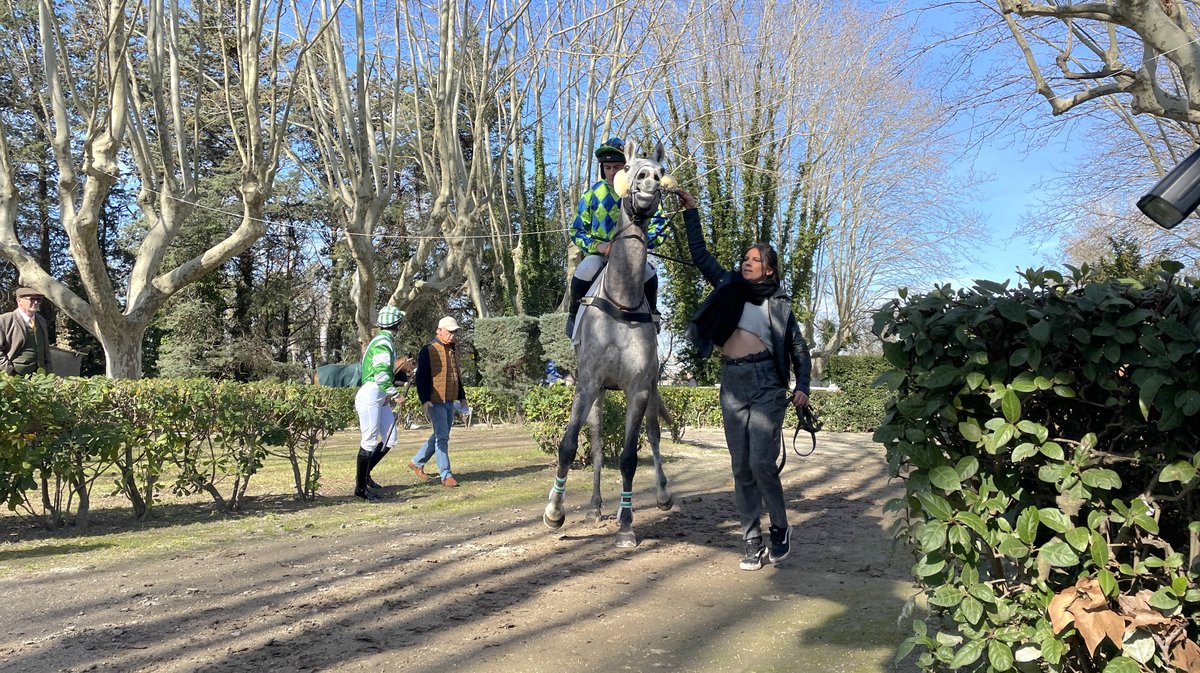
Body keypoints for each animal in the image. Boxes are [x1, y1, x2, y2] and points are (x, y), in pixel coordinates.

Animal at [547, 140, 676, 547]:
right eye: (632, 168)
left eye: (660, 169)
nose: (648, 179)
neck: (621, 304)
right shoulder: (588, 383)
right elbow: (569, 445)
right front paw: (554, 513)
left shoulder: (638, 389)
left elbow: (631, 456)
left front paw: (627, 525)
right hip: (600, 392)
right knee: (599, 441)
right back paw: (594, 505)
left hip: (647, 391)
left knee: (653, 436)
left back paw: (662, 496)